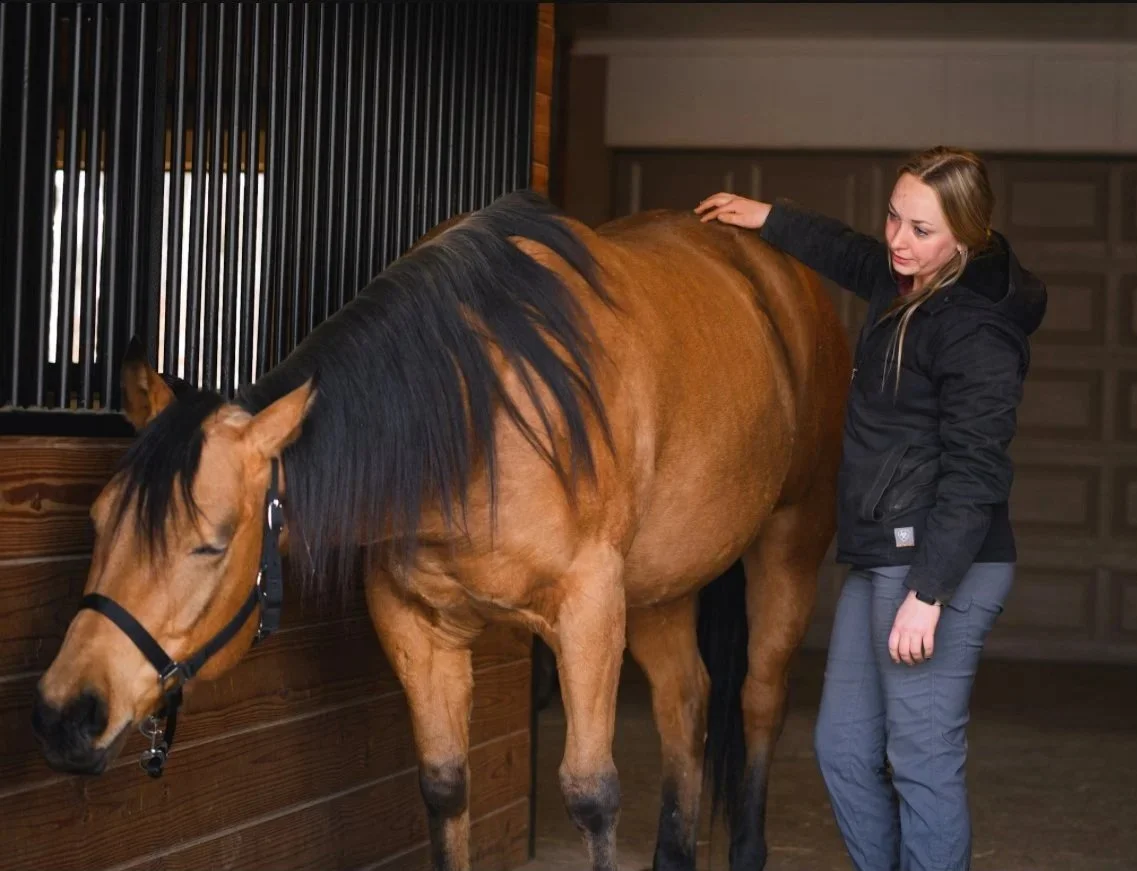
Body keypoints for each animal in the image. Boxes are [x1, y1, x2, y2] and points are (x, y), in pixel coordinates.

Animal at [32, 190, 850, 871]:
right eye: (97, 521)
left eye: (212, 540)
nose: (63, 715)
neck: (474, 417)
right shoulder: (417, 625)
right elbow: (444, 786)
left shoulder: (589, 610)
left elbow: (591, 794)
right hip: (660, 587)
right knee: (687, 702)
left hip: (789, 542)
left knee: (758, 699)